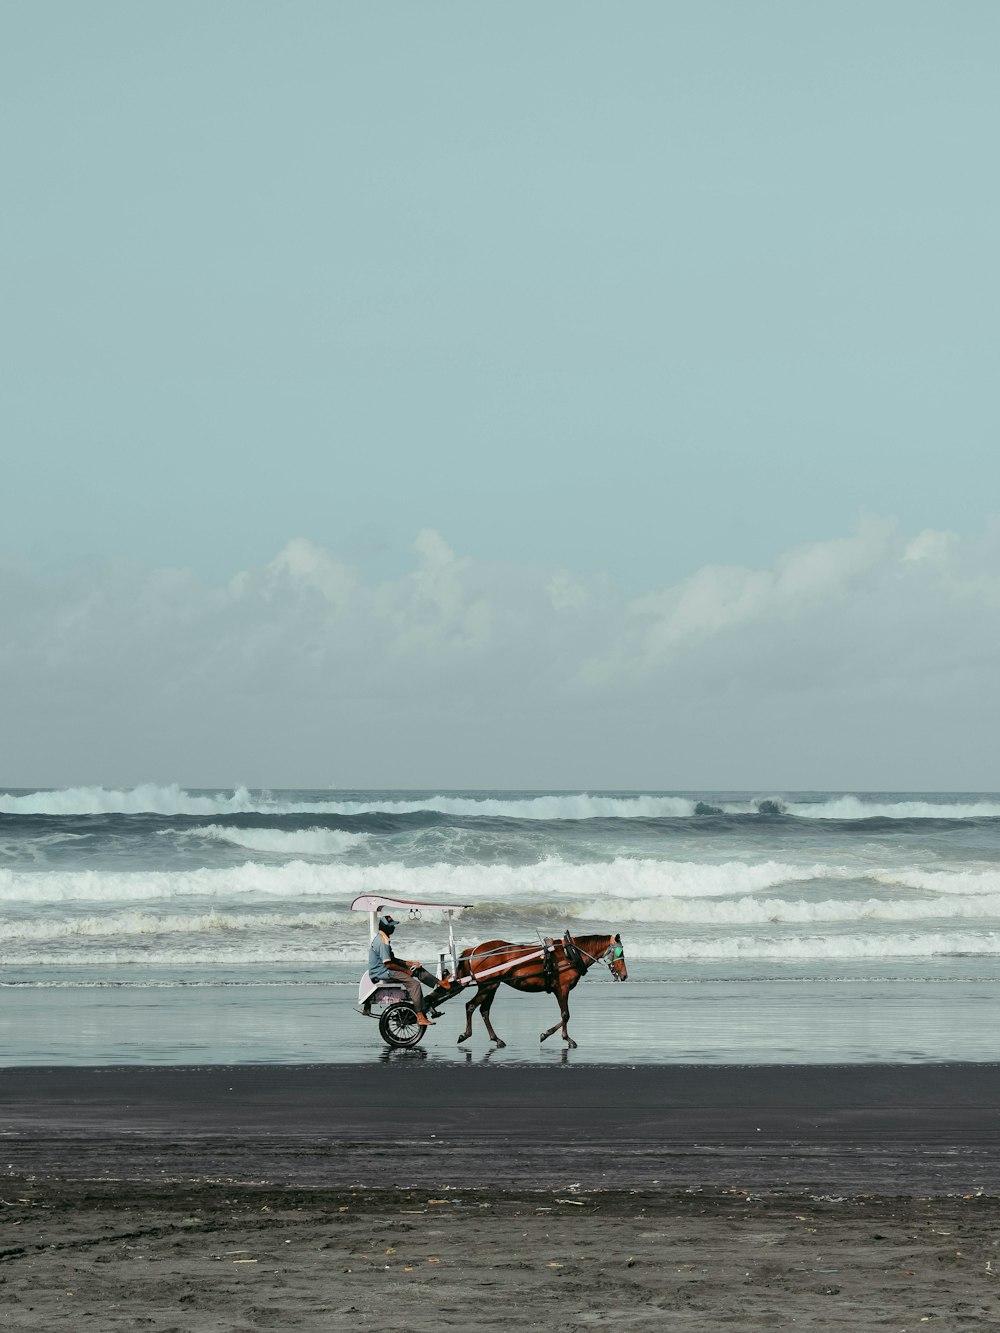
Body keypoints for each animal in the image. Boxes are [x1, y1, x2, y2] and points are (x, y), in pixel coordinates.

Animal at [458, 933, 629, 1045]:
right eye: (620, 951)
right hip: (488, 985)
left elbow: (565, 1015)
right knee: (471, 1006)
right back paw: (467, 1034)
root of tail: (474, 950)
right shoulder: (562, 988)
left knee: (483, 1010)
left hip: (491, 986)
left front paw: (560, 1036)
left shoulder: (561, 990)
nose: (625, 975)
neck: (571, 953)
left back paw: (496, 1038)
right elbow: (565, 1015)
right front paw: (553, 1035)